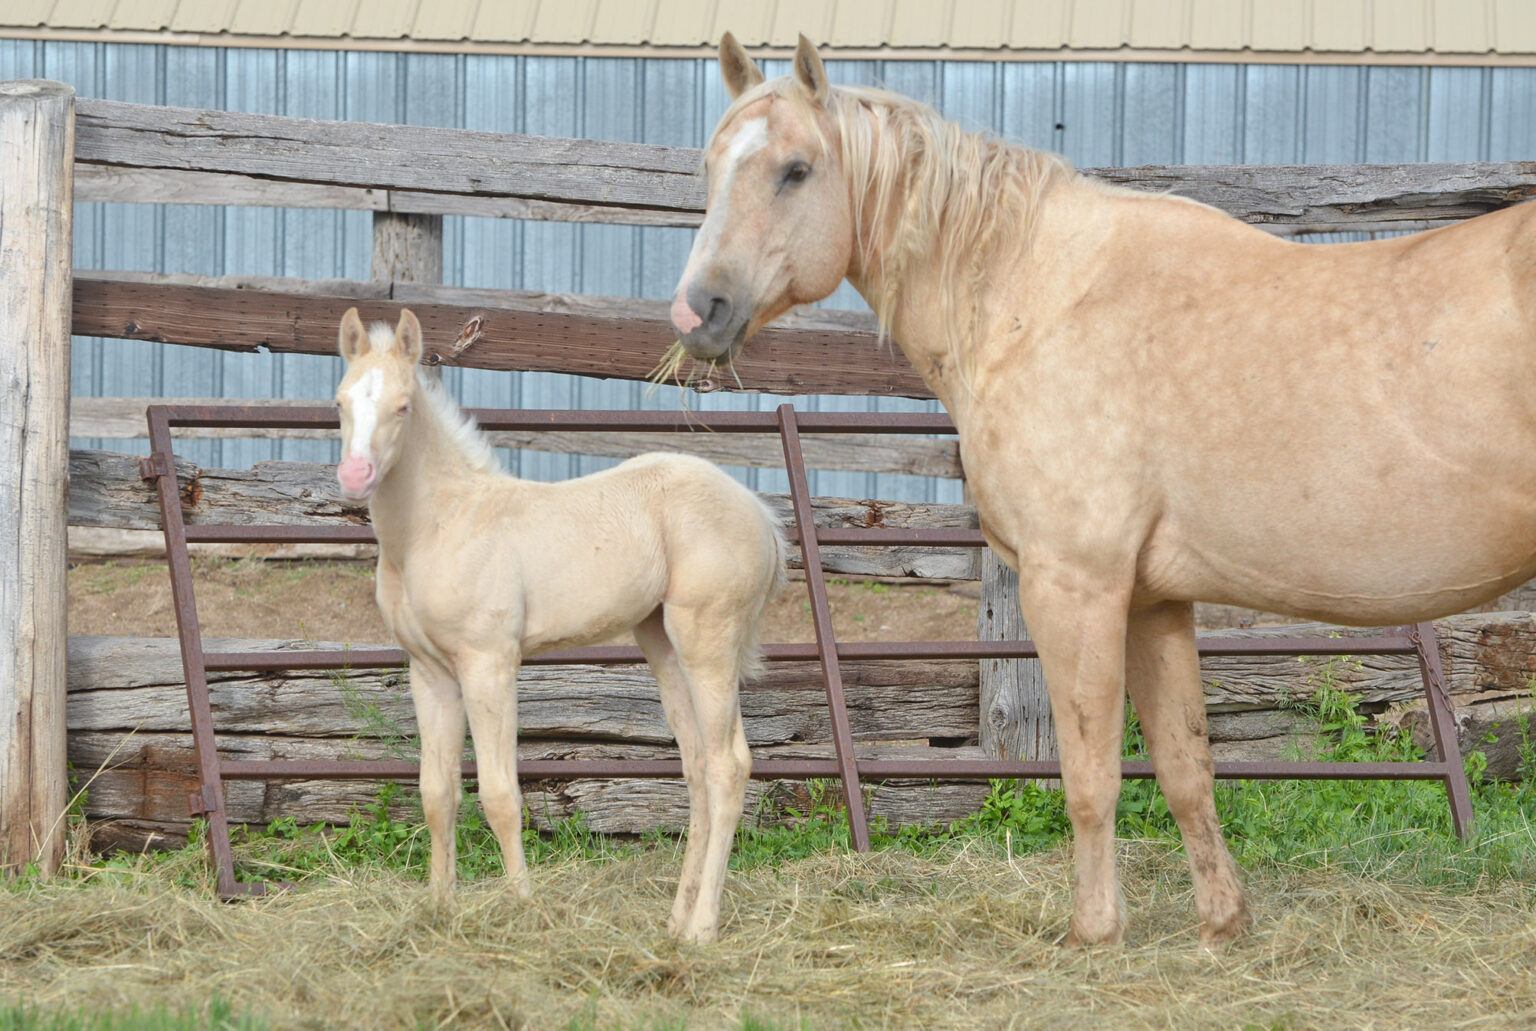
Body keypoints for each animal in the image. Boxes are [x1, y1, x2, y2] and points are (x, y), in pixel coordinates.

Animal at [334, 307, 786, 943]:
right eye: (341, 402)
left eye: (402, 406)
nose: (356, 476)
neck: (440, 526)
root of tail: (760, 513)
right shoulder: (430, 672)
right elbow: (436, 793)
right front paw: (440, 911)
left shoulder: (489, 663)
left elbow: (500, 793)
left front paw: (523, 907)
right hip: (663, 644)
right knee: (697, 767)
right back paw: (675, 921)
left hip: (709, 642)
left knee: (728, 768)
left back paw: (701, 930)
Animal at [668, 32, 1536, 947]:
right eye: (712, 166)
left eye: (795, 170)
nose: (697, 314)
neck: (1038, 299)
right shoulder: (1154, 601)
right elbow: (1186, 767)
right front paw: (1221, 922)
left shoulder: (1073, 585)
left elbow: (1089, 775)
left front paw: (1094, 929)